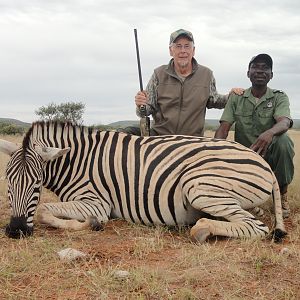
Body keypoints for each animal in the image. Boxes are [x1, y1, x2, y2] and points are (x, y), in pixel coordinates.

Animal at [0, 120, 286, 243]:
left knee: (257, 226)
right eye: (8, 183)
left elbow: (43, 210)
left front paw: (88, 224)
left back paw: (202, 229)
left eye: (36, 184)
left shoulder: (97, 203)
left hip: (198, 187)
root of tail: (264, 164)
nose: (15, 230)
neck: (76, 162)